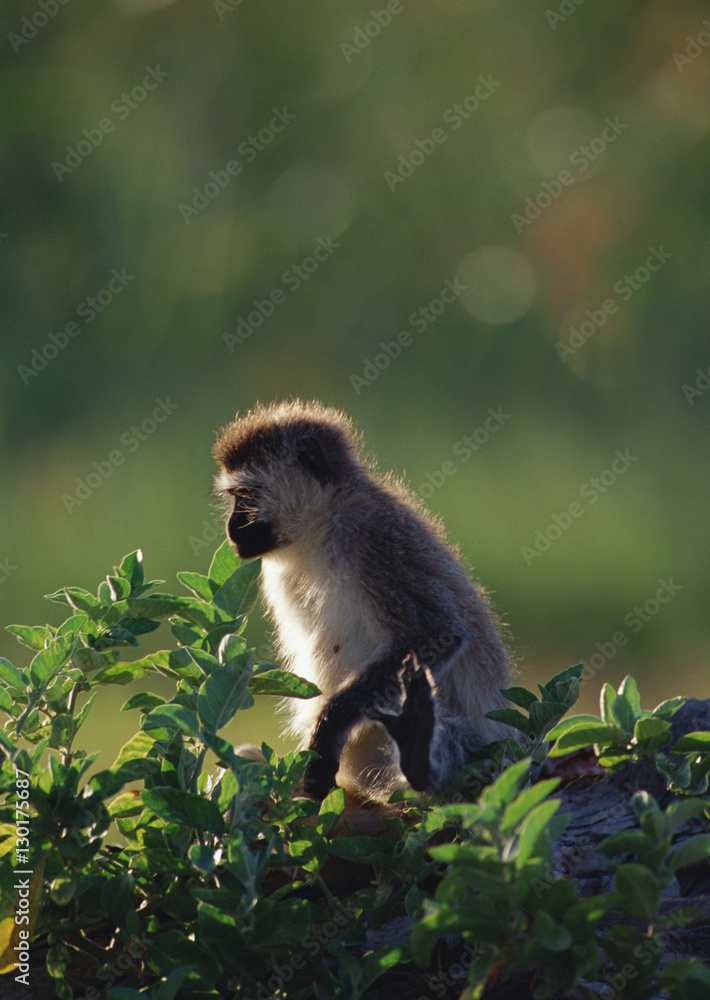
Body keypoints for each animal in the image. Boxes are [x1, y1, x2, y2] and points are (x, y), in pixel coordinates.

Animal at [212, 399, 512, 802]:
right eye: (235, 499)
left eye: (246, 496)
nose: (232, 527)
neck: (322, 527)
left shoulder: (371, 535)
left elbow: (437, 632)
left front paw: (328, 728)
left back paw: (420, 756)